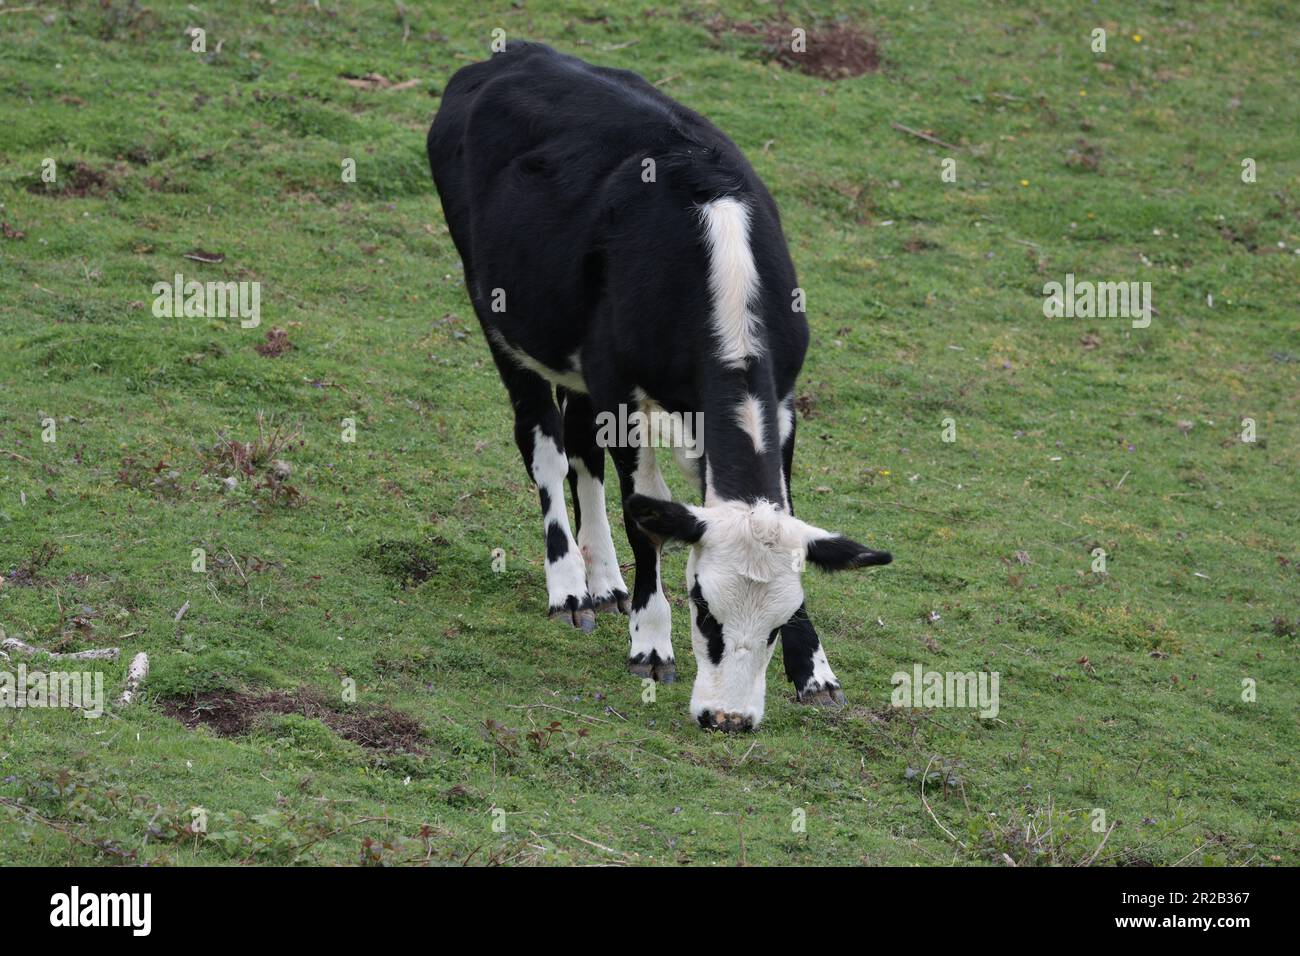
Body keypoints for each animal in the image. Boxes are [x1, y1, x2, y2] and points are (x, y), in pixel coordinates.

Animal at [428, 41, 894, 733]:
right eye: (703, 609)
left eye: (778, 623)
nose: (728, 720)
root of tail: (513, 54)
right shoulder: (621, 386)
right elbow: (644, 514)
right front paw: (650, 645)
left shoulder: (780, 402)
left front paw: (815, 670)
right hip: (500, 316)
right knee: (543, 443)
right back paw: (569, 586)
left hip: (579, 359)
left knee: (581, 449)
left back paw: (605, 582)